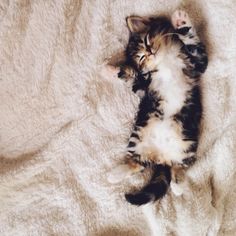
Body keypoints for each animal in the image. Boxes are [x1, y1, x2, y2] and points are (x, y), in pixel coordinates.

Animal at [108, 9, 207, 205]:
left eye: (147, 41)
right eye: (141, 57)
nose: (150, 52)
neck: (165, 60)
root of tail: (161, 158)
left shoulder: (195, 64)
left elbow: (194, 45)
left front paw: (181, 22)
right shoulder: (144, 88)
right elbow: (133, 81)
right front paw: (111, 70)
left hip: (187, 145)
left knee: (177, 167)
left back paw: (177, 185)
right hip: (138, 137)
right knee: (138, 164)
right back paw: (115, 174)